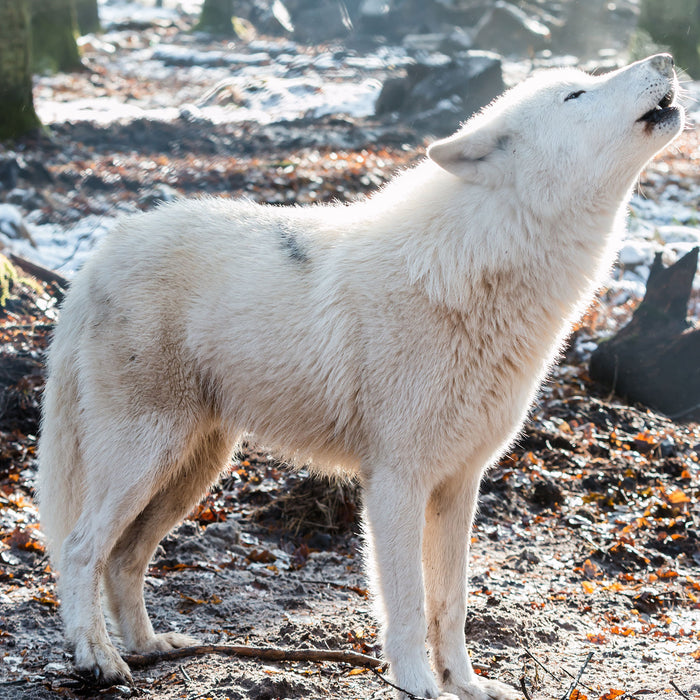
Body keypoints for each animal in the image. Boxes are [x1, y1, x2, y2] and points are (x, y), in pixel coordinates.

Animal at [37, 54, 684, 700]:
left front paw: (465, 684)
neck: (480, 267)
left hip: (192, 471)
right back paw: (97, 658)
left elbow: (451, 604)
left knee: (124, 558)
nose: (665, 60)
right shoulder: (396, 481)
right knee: (80, 549)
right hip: (147, 459)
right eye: (576, 94)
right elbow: (407, 602)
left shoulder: (460, 484)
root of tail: (98, 255)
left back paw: (149, 647)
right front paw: (418, 684)